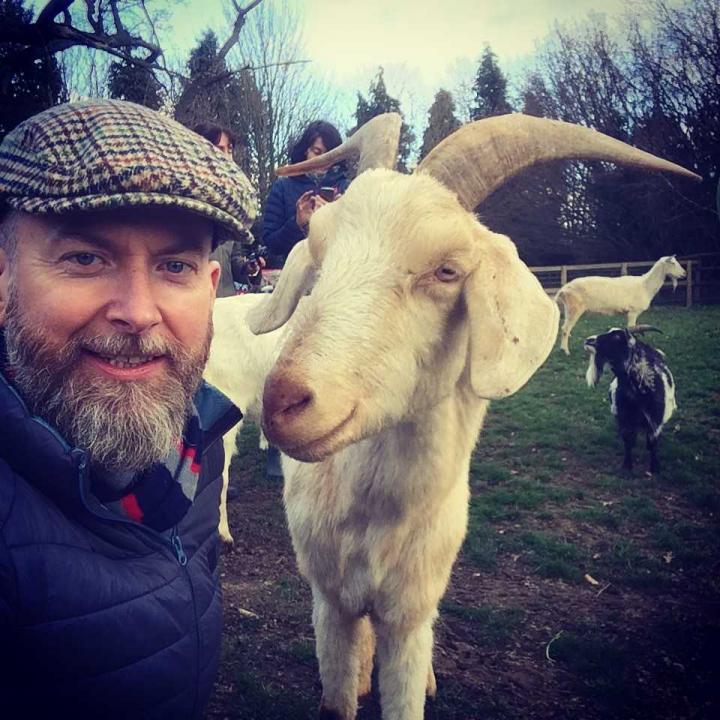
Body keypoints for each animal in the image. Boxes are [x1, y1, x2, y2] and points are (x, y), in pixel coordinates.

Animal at [556, 255, 686, 354]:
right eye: (673, 263)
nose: (684, 274)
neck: (645, 286)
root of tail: (564, 289)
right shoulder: (633, 311)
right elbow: (632, 329)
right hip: (575, 308)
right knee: (565, 329)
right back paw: (566, 351)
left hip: (568, 308)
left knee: (564, 328)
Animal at [584, 326, 676, 474]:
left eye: (617, 336)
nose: (589, 340)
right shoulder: (624, 417)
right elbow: (628, 440)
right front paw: (627, 466)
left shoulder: (655, 420)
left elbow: (653, 443)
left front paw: (654, 467)